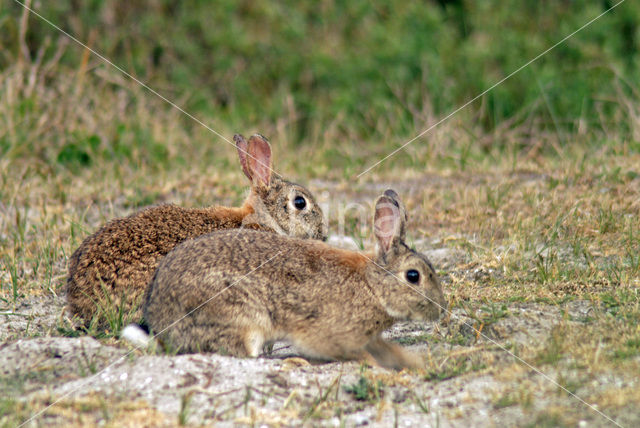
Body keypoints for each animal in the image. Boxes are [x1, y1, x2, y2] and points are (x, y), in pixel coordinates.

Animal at [144, 189, 444, 370]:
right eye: (413, 276)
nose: (440, 310)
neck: (373, 287)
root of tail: (161, 320)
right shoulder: (335, 335)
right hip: (243, 316)